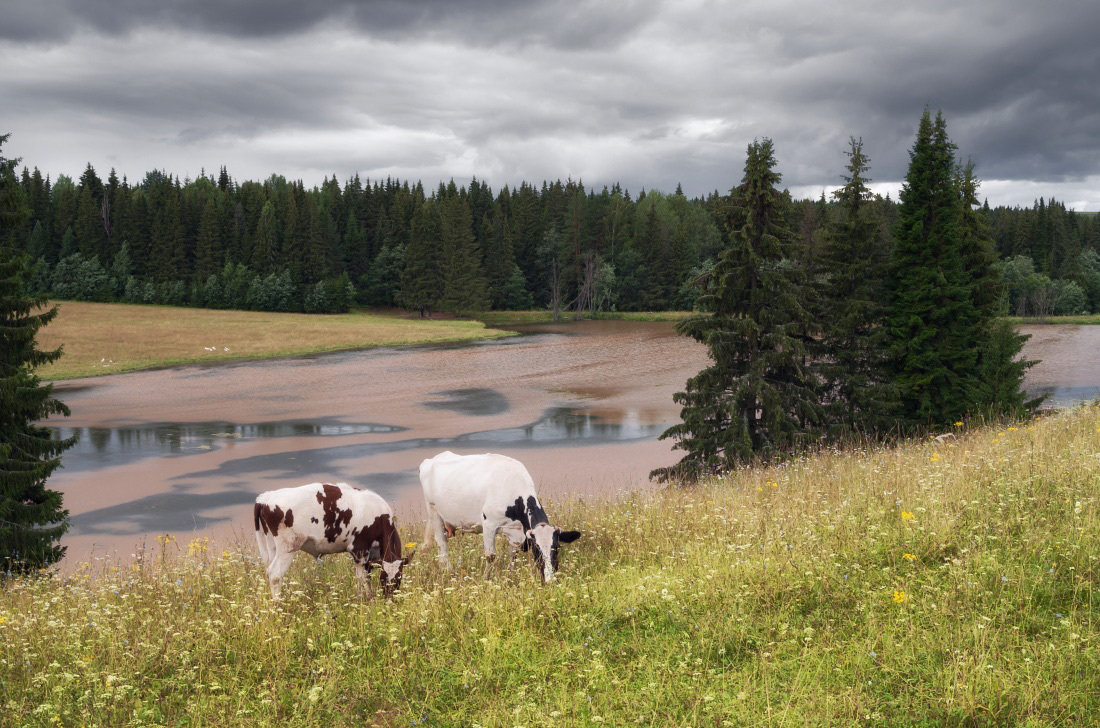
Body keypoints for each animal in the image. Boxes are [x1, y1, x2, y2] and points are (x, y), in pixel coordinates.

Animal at [253, 483, 413, 598]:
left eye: (399, 577)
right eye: (383, 578)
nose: (390, 599)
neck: (379, 517)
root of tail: (265, 497)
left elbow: (366, 575)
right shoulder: (359, 549)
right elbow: (361, 577)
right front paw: (366, 598)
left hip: (272, 545)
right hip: (288, 547)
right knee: (275, 574)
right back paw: (278, 606)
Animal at [415, 453, 580, 585]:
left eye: (556, 548)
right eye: (536, 549)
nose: (551, 580)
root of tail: (431, 459)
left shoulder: (516, 531)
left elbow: (513, 554)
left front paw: (510, 575)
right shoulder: (489, 524)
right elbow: (490, 556)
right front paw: (486, 579)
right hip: (433, 510)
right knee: (442, 544)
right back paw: (450, 573)